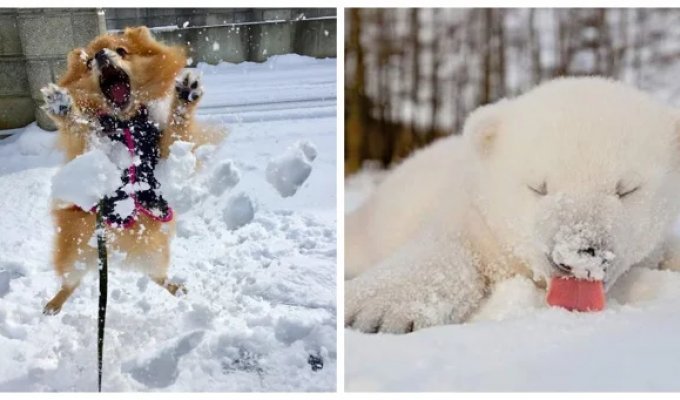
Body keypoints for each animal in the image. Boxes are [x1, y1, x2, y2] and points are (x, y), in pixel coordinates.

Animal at [41, 25, 210, 316]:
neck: (126, 124)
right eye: (88, 62)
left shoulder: (164, 152)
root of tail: (116, 251)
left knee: (157, 277)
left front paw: (185, 95)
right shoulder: (88, 149)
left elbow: (178, 130)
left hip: (154, 253)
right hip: (75, 249)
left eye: (121, 51)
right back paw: (54, 304)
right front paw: (63, 107)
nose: (100, 55)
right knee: (70, 282)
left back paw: (177, 288)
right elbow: (80, 130)